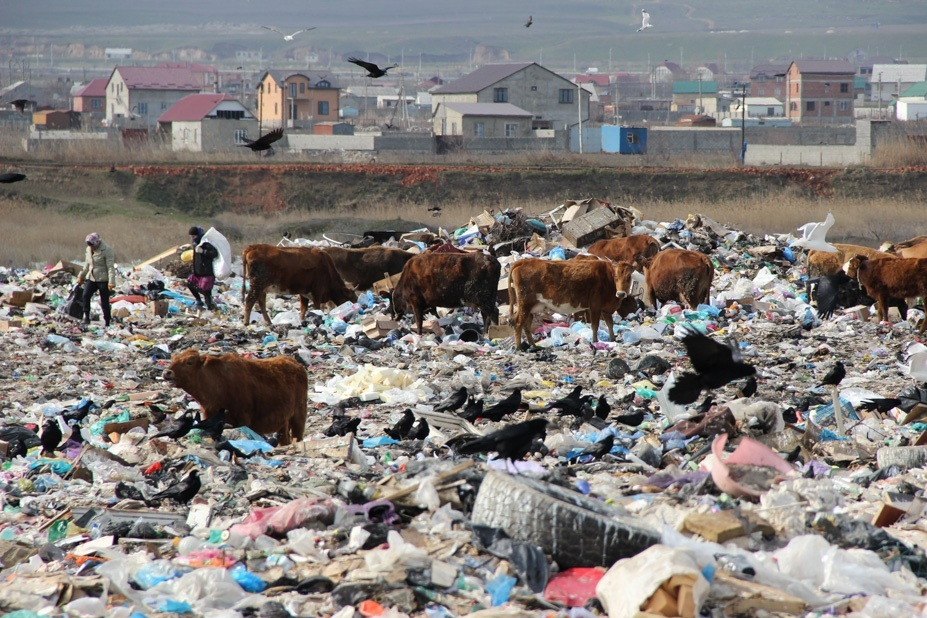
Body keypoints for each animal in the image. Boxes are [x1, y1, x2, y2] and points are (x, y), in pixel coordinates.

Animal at [163, 348, 308, 446]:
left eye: (189, 362)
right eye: (173, 359)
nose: (166, 372)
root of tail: (296, 364)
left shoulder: (244, 418)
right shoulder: (209, 415)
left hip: (299, 415)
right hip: (283, 421)